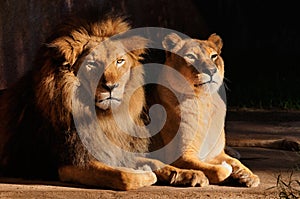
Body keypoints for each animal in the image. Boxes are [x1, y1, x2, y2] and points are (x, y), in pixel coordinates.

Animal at [0, 12, 209, 190]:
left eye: (119, 61)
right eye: (91, 64)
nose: (111, 86)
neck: (105, 118)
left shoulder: (118, 148)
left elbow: (157, 162)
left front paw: (188, 173)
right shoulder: (70, 163)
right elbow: (123, 176)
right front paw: (145, 174)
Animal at [149, 31, 260, 187]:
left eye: (213, 56)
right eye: (191, 56)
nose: (212, 70)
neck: (205, 101)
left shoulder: (216, 153)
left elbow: (236, 163)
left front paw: (249, 176)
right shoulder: (182, 156)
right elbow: (219, 170)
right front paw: (227, 171)